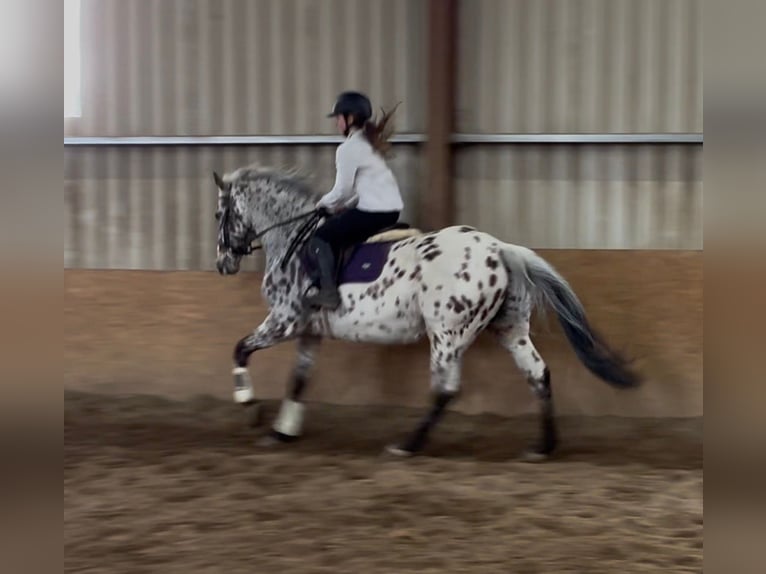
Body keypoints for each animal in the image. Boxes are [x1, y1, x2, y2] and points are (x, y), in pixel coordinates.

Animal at [212, 164, 641, 460]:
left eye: (219, 215)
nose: (222, 264)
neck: (292, 241)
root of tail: (500, 248)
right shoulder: (309, 331)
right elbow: (298, 379)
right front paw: (282, 431)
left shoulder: (283, 322)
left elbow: (239, 349)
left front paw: (249, 405)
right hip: (509, 330)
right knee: (538, 375)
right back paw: (543, 448)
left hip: (448, 333)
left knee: (446, 389)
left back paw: (407, 444)